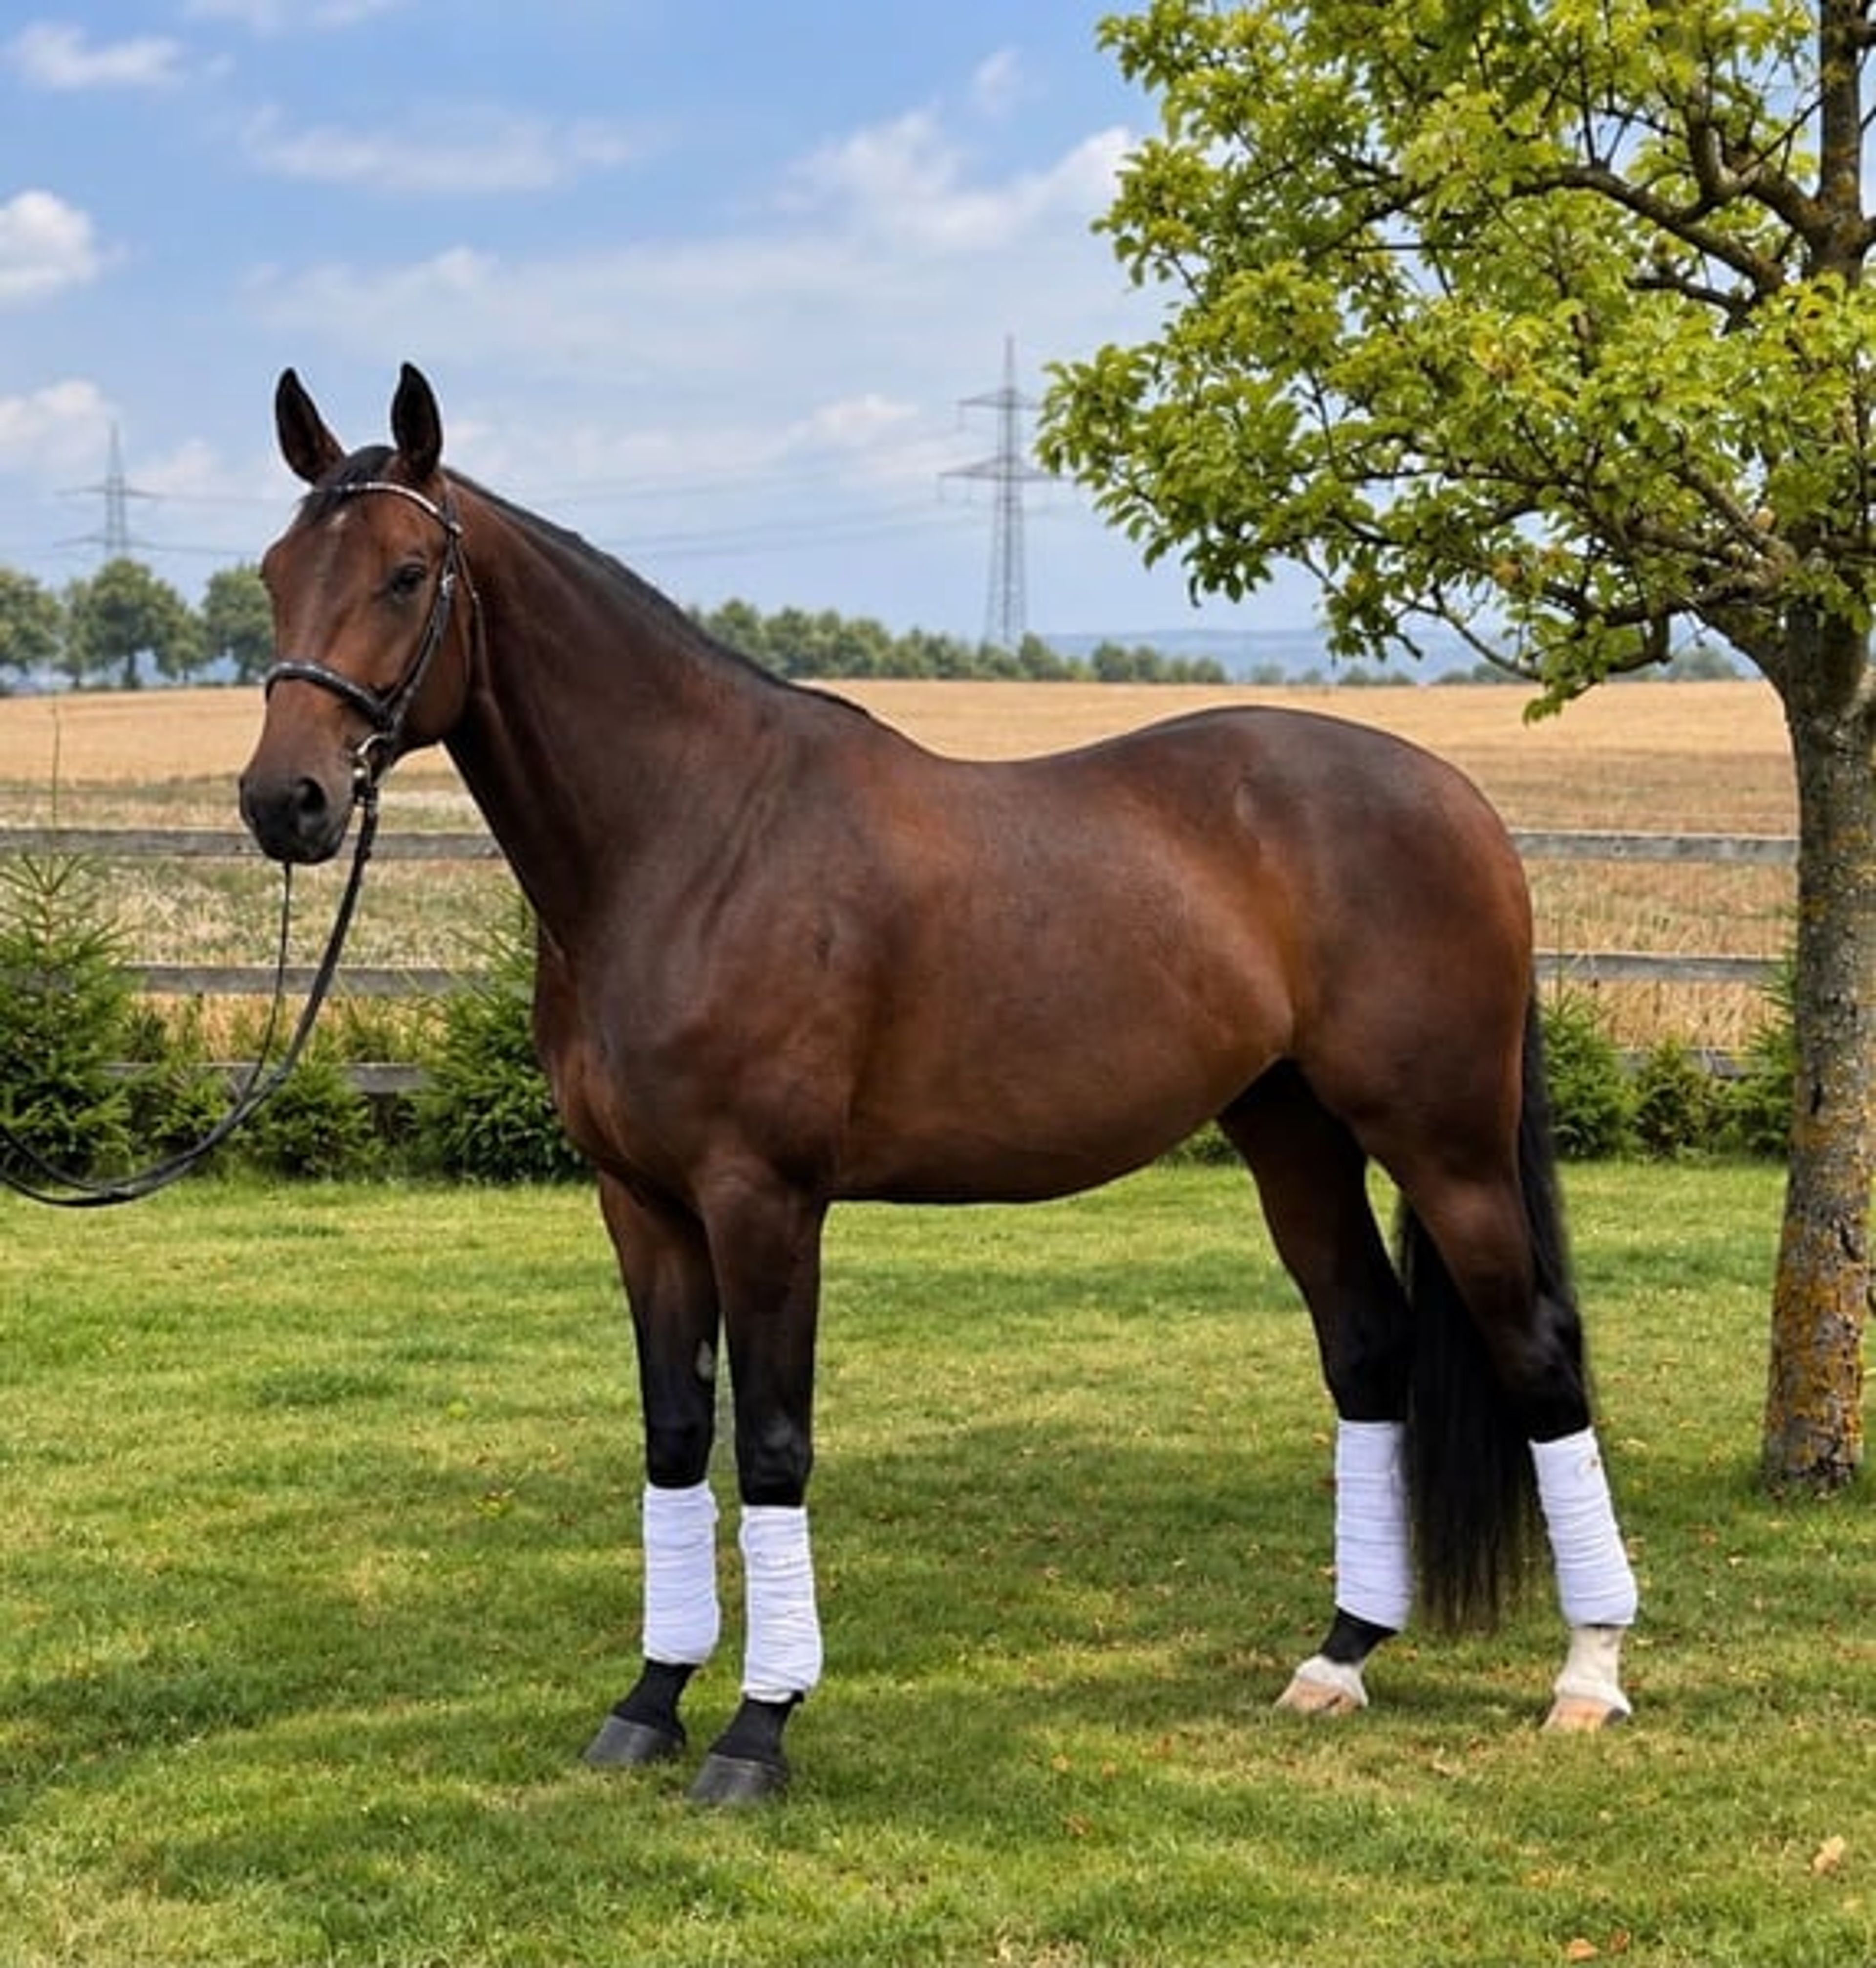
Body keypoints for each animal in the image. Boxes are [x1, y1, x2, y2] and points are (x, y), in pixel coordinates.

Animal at [239, 364, 1637, 1805]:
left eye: (407, 573)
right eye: (277, 570)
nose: (285, 801)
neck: (692, 839)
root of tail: (1461, 804)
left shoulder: (763, 1198)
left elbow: (773, 1445)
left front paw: (756, 1729)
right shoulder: (641, 1202)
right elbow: (676, 1437)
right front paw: (648, 1701)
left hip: (1445, 1142)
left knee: (1538, 1352)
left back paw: (1587, 1674)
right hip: (1291, 1134)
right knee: (1366, 1350)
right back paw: (1340, 1655)